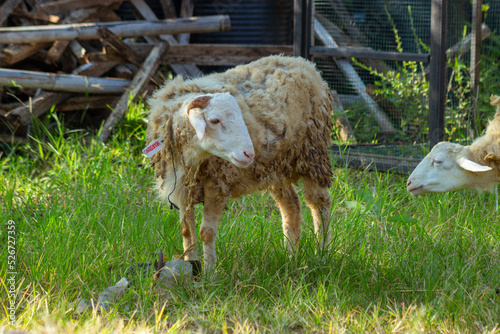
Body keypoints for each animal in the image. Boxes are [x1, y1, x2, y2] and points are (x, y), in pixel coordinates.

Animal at [143, 56, 334, 272]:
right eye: (214, 120)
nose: (249, 153)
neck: (192, 158)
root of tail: (304, 63)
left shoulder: (216, 184)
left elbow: (206, 232)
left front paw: (209, 273)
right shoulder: (184, 189)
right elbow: (186, 230)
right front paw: (191, 266)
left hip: (313, 153)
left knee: (319, 203)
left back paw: (322, 253)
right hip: (275, 167)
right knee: (291, 205)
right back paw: (291, 256)